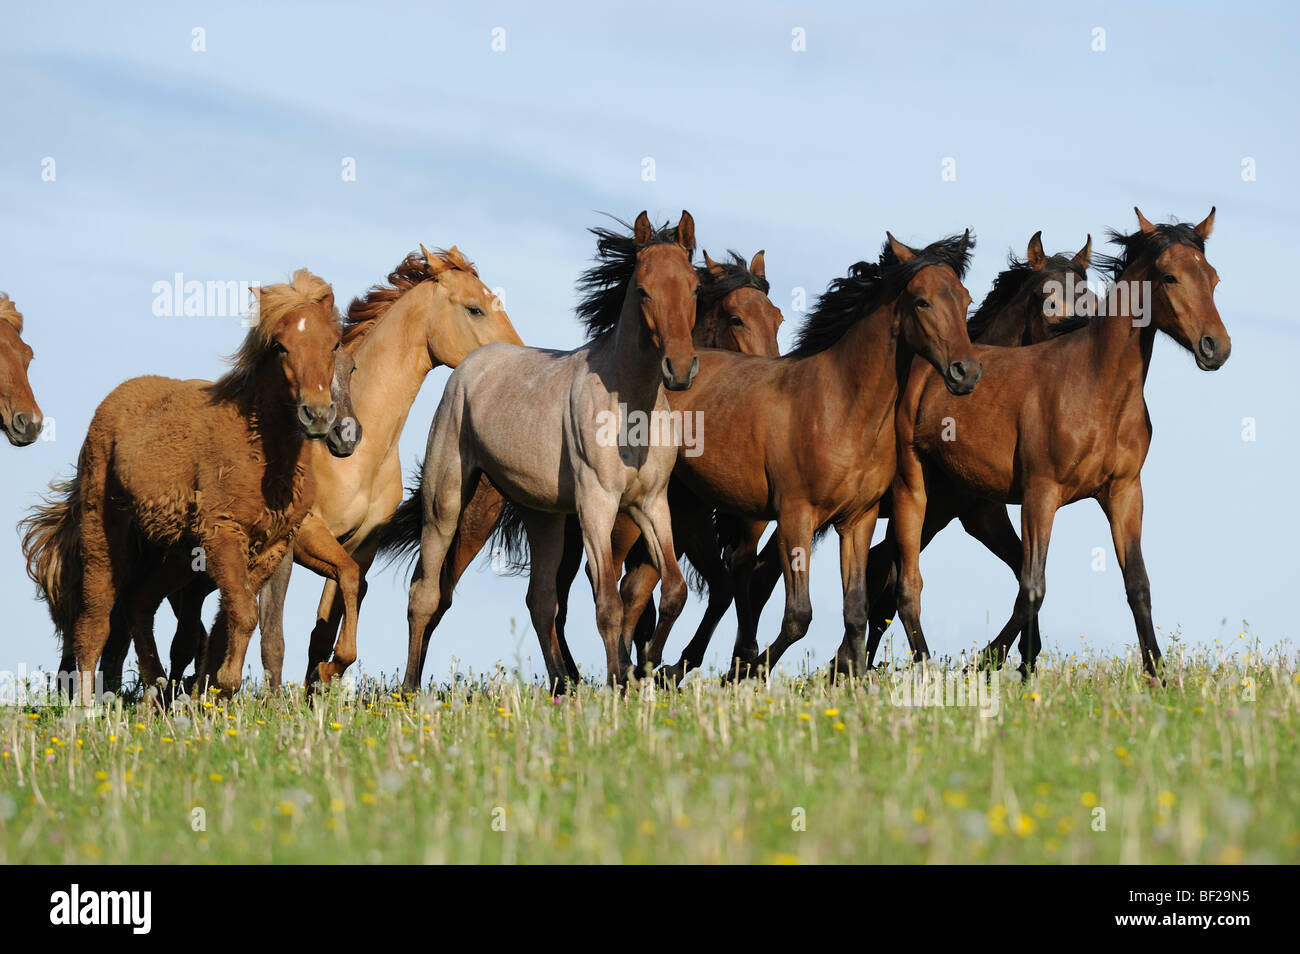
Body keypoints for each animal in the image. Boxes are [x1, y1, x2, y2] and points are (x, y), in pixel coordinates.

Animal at [24, 269, 345, 701]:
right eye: (280, 346)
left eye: (334, 343)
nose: (318, 414)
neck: (261, 454)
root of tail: (115, 399)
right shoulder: (223, 534)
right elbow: (243, 613)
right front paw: (221, 687)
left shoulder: (271, 547)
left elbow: (230, 618)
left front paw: (207, 695)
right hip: (103, 532)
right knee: (96, 618)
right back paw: (88, 707)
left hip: (174, 553)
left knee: (139, 604)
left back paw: (158, 693)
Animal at [379, 240, 780, 686]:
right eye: (736, 318)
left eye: (777, 318)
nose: (679, 369)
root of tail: (471, 365)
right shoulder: (602, 511)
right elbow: (613, 600)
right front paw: (626, 677)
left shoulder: (653, 507)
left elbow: (668, 591)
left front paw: (647, 670)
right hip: (450, 505)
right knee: (430, 592)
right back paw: (410, 689)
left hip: (544, 518)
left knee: (540, 600)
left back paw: (563, 682)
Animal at [889, 207, 1232, 681]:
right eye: (1170, 277)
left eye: (1213, 278)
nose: (1216, 347)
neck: (1095, 390)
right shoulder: (1040, 494)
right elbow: (1032, 588)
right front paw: (984, 663)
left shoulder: (1124, 492)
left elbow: (1138, 584)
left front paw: (1159, 677)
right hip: (917, 491)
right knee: (902, 580)